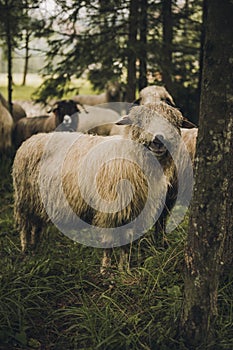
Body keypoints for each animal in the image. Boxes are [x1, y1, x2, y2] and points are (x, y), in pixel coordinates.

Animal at [12, 102, 190, 272]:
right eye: (140, 121)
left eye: (173, 122)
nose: (159, 140)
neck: (130, 156)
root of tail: (31, 140)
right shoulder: (110, 211)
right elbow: (109, 242)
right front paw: (105, 270)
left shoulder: (133, 212)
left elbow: (126, 244)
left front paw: (124, 270)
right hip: (24, 197)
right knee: (25, 224)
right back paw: (25, 248)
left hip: (38, 200)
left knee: (36, 224)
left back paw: (35, 247)